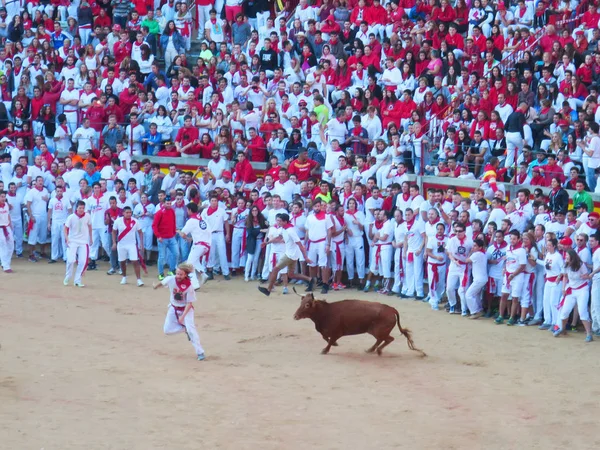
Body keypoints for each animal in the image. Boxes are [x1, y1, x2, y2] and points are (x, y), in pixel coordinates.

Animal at [292, 290, 426, 356]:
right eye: (301, 302)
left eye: (307, 305)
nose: (295, 316)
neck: (326, 312)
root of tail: (391, 309)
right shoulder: (327, 332)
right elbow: (325, 337)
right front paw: (334, 344)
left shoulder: (337, 332)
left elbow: (329, 340)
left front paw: (325, 350)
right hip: (374, 331)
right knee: (381, 340)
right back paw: (371, 350)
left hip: (378, 331)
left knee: (388, 339)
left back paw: (378, 351)